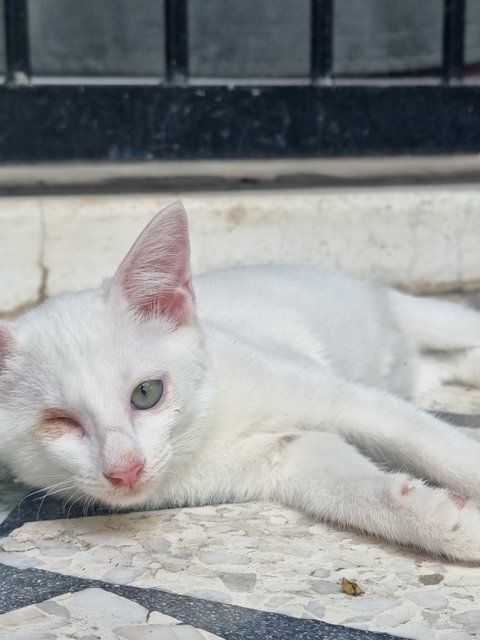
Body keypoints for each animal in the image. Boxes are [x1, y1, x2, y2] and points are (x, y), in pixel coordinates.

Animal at [0, 204, 480, 560]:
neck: (207, 429)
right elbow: (350, 490)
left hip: (423, 316)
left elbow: (438, 447)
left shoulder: (345, 399)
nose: (125, 470)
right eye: (59, 421)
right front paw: (446, 520)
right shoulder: (292, 457)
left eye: (146, 393)